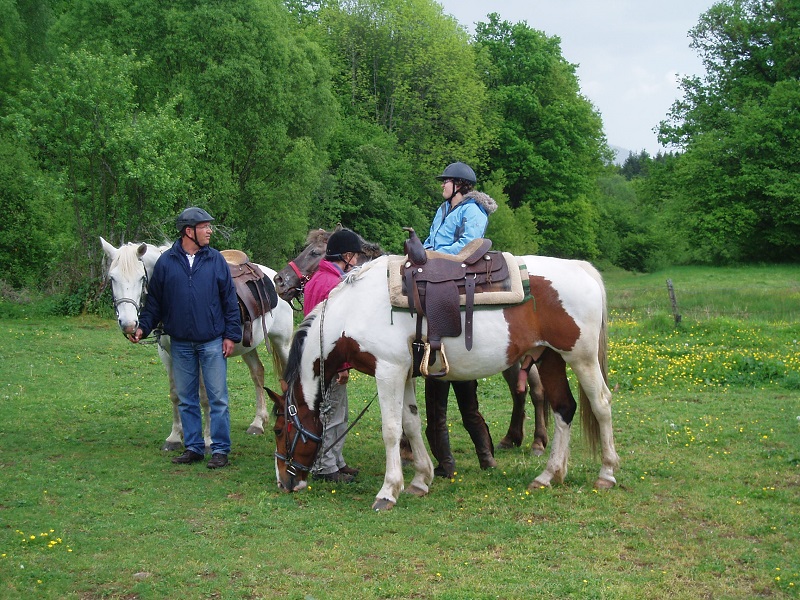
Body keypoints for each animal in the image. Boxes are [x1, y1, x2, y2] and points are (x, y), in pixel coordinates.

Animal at [100, 237, 294, 452]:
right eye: (112, 278)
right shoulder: (168, 355)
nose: (128, 324)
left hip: (282, 343)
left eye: (141, 278)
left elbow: (205, 397)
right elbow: (175, 394)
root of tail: (275, 277)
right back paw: (258, 423)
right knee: (258, 373)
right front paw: (175, 437)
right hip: (248, 345)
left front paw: (209, 441)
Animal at [268, 253, 620, 510]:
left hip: (581, 358)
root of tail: (582, 268)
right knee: (564, 408)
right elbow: (411, 423)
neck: (356, 310)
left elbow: (391, 430)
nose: (284, 483)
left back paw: (606, 473)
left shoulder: (388, 371)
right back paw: (549, 475)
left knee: (601, 404)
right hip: (549, 357)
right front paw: (420, 479)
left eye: (280, 430)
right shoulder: (403, 373)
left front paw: (387, 491)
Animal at [276, 227, 552, 452]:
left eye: (314, 252)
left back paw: (538, 441)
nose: (279, 280)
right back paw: (512, 438)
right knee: (519, 391)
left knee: (537, 391)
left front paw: (407, 449)